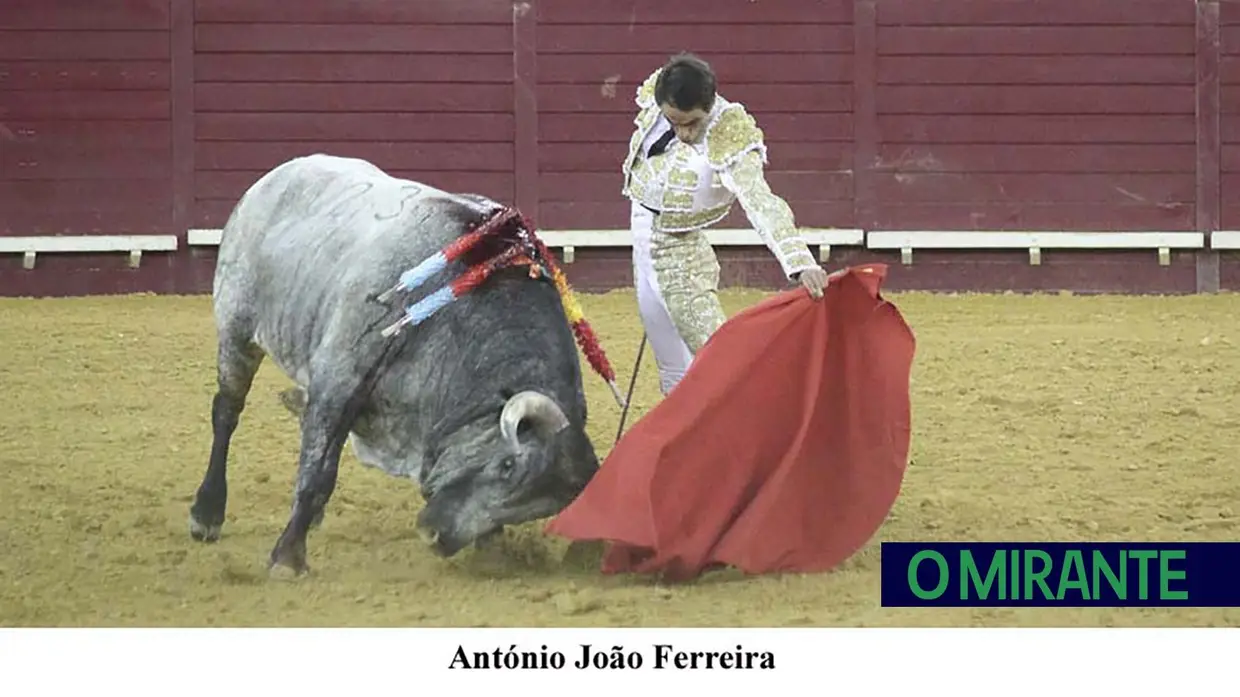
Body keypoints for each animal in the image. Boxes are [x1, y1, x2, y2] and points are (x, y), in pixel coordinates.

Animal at [184, 154, 605, 572]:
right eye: (507, 466)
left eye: (533, 509)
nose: (436, 537)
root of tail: (273, 177)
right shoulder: (339, 383)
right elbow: (317, 471)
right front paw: (288, 556)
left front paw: (491, 548)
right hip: (236, 328)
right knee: (227, 412)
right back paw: (207, 514)